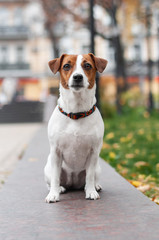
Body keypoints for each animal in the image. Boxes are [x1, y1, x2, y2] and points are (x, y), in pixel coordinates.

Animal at [44, 53, 107, 202]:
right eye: (66, 65)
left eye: (87, 65)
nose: (78, 76)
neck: (76, 113)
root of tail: (73, 183)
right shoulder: (56, 151)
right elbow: (55, 178)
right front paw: (53, 194)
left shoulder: (93, 152)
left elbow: (89, 177)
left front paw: (91, 191)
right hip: (48, 168)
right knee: (52, 180)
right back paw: (59, 188)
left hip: (98, 167)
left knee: (91, 178)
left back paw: (95, 186)